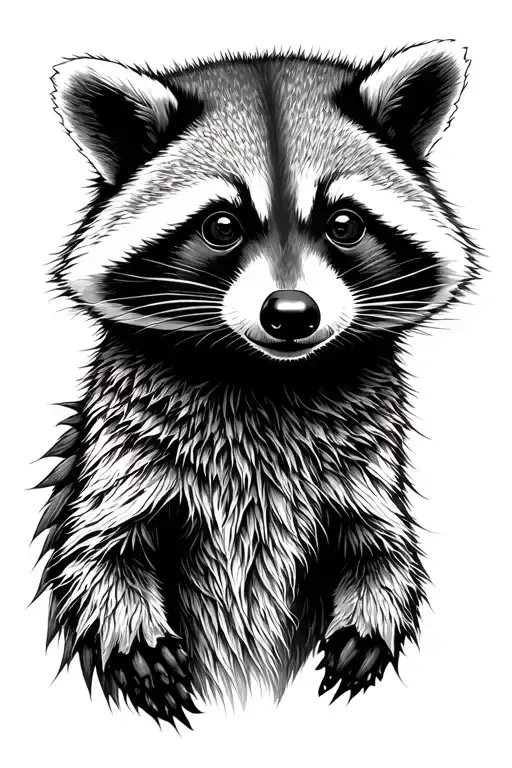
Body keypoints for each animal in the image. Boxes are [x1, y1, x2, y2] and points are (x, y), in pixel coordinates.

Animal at [34, 41, 479, 728]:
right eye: (222, 226)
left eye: (344, 223)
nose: (291, 314)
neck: (268, 375)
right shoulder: (125, 447)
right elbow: (99, 550)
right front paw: (129, 631)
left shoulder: (365, 455)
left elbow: (381, 543)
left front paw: (374, 608)